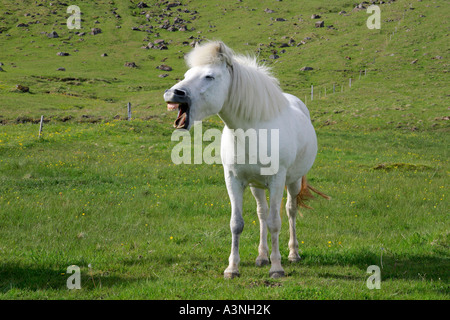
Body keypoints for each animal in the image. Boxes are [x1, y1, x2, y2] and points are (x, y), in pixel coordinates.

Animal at [163, 42, 328, 278]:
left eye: (209, 76)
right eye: (187, 75)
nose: (172, 93)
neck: (252, 131)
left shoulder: (277, 180)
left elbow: (275, 222)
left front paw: (276, 268)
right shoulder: (234, 180)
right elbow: (237, 223)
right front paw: (233, 268)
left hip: (293, 182)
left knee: (290, 211)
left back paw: (293, 254)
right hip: (256, 186)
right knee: (262, 213)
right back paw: (261, 257)